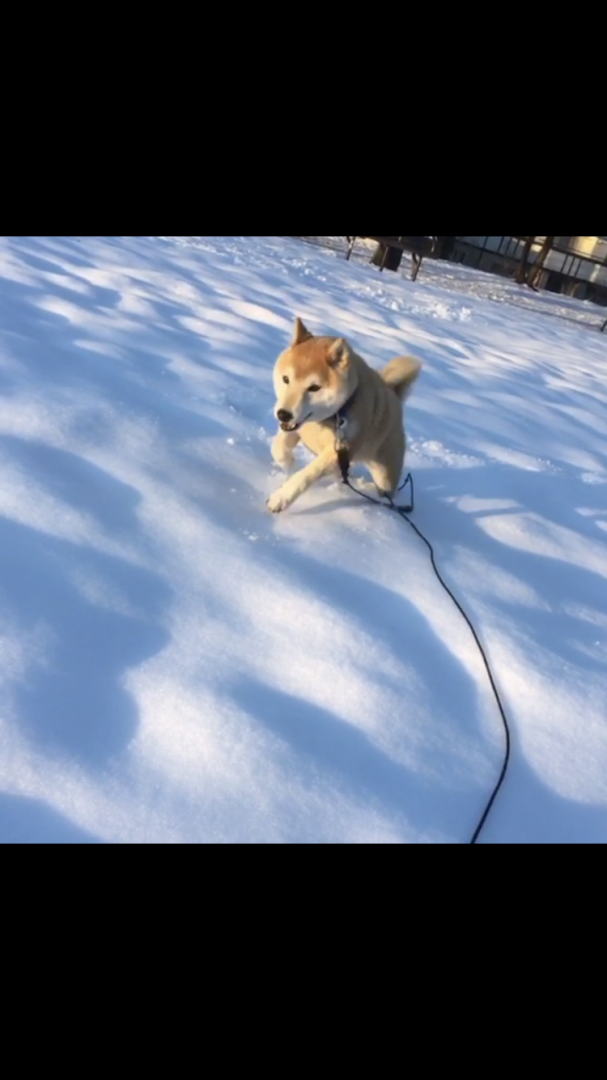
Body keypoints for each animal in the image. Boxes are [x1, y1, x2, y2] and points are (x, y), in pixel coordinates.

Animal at [266, 317, 419, 511]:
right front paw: (289, 465)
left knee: (386, 492)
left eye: (314, 388)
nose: (283, 414)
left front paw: (281, 497)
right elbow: (278, 448)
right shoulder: (298, 428)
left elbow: (308, 474)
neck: (332, 416)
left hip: (385, 475)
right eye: (286, 379)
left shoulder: (339, 450)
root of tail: (392, 392)